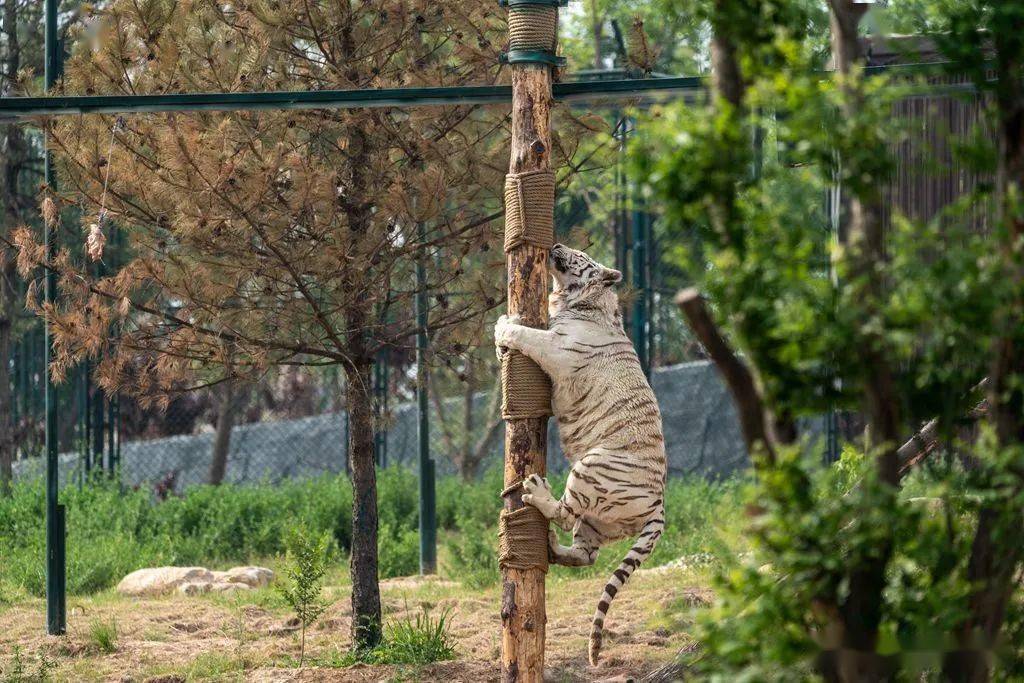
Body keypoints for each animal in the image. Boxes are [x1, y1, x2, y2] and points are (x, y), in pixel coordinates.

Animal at [493, 242, 667, 663]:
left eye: (581, 255)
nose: (556, 244)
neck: (584, 303)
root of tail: (660, 505)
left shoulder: (556, 347)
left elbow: (526, 333)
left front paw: (504, 323)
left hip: (592, 465)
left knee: (564, 510)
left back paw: (536, 492)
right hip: (597, 522)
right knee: (586, 554)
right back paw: (551, 548)